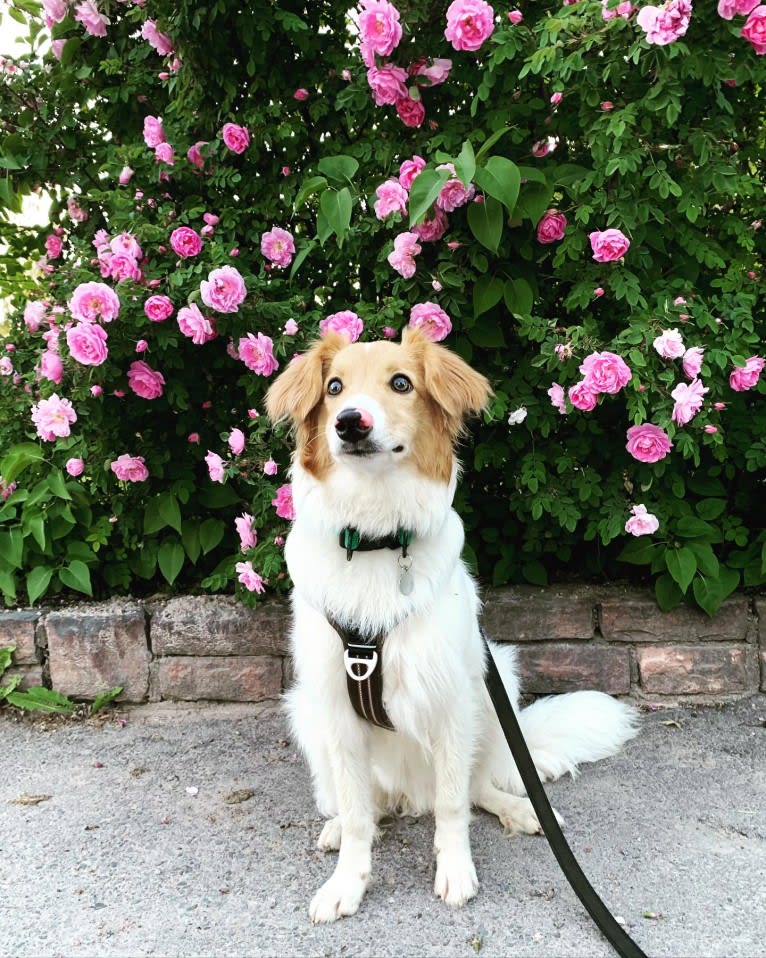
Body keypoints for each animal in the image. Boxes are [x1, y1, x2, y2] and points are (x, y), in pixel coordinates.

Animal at [268, 328, 640, 924]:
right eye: (334, 387)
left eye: (401, 383)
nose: (349, 422)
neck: (376, 538)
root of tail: (406, 794)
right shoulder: (335, 708)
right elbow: (357, 815)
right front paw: (347, 882)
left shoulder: (450, 698)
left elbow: (452, 803)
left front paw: (456, 869)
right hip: (306, 712)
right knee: (367, 805)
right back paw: (341, 826)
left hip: (496, 684)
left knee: (474, 787)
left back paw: (520, 809)